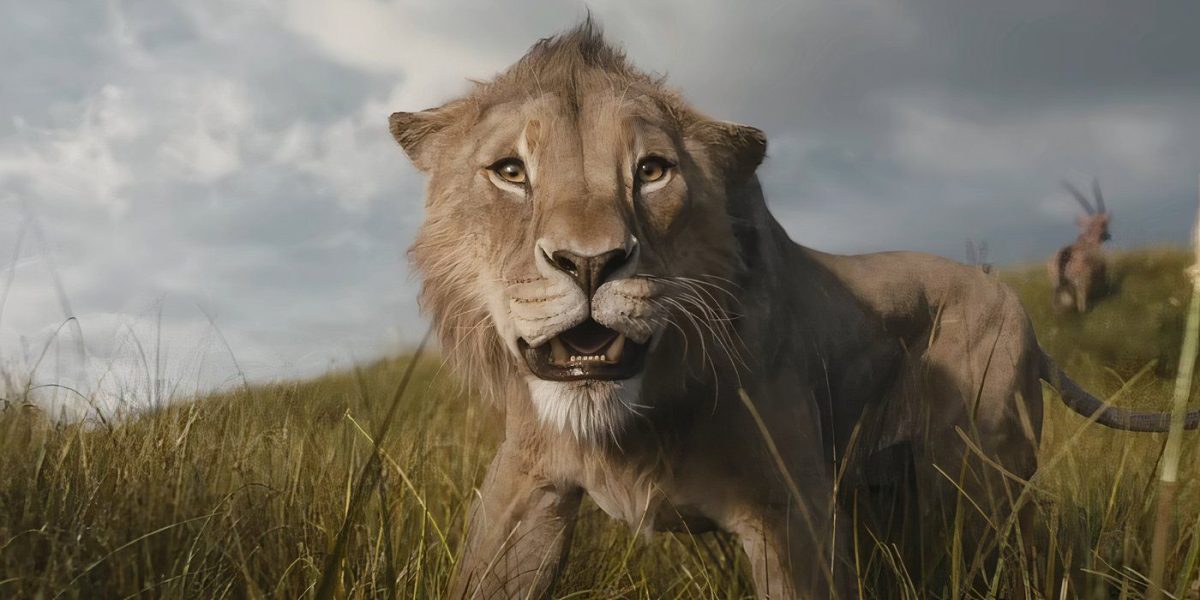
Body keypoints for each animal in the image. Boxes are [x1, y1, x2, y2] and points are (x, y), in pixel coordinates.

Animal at [388, 22, 1198, 599]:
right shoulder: (524, 484)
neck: (635, 419)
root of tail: (1014, 299)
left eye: (651, 171)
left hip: (982, 472)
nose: (590, 263)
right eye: (510, 172)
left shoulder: (794, 514)